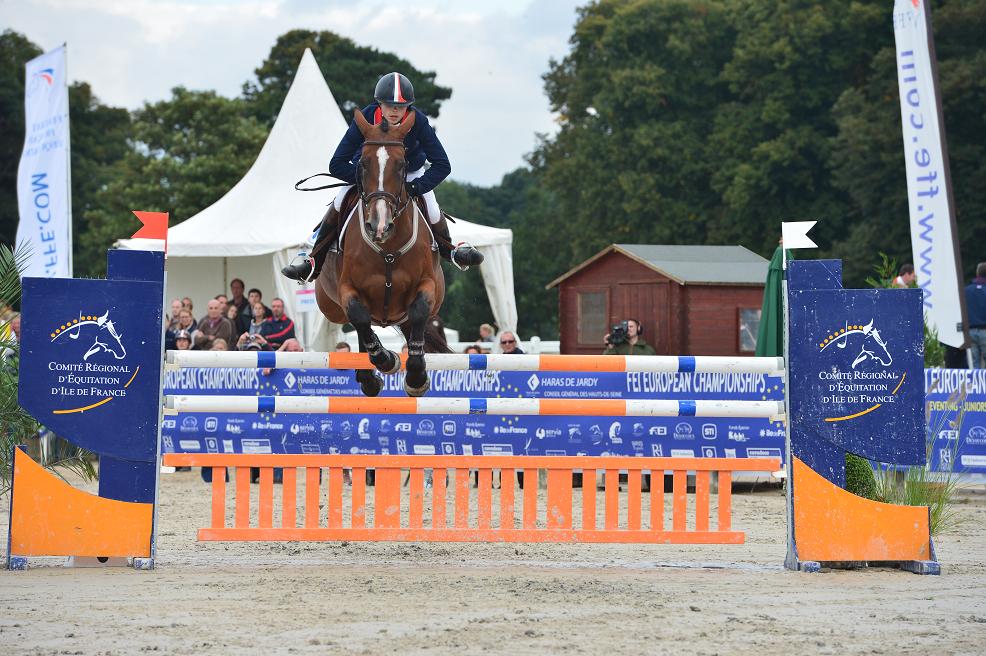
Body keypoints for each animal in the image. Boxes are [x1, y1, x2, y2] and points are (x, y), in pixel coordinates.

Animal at [316, 110, 450, 398]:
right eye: (363, 164)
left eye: (401, 165)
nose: (379, 225)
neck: (387, 249)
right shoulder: (347, 289)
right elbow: (359, 317)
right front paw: (387, 360)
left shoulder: (428, 285)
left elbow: (420, 311)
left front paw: (416, 377)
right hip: (330, 307)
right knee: (359, 326)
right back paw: (369, 377)